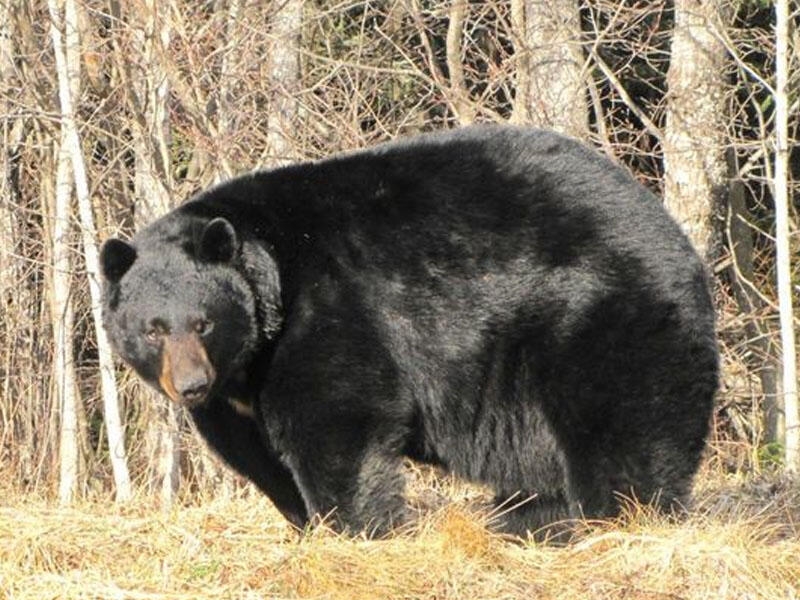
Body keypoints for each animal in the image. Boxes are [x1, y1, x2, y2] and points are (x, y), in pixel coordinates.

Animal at [100, 124, 720, 536]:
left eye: (203, 322)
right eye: (153, 329)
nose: (191, 385)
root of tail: (678, 242)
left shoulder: (331, 313)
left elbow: (339, 421)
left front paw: (355, 529)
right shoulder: (235, 400)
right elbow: (258, 457)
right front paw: (304, 525)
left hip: (600, 321)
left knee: (626, 436)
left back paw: (617, 520)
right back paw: (529, 522)